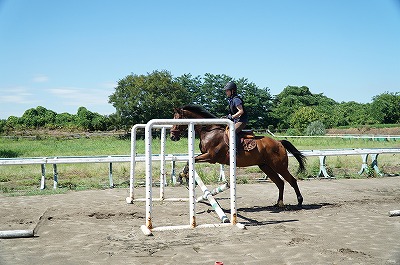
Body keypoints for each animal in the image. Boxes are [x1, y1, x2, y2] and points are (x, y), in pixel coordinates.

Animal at [170, 104, 306, 207]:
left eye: (177, 119)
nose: (172, 136)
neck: (209, 131)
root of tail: (279, 142)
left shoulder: (210, 157)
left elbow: (191, 160)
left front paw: (183, 177)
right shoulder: (205, 155)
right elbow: (190, 160)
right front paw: (182, 177)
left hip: (279, 166)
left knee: (291, 180)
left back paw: (299, 201)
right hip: (265, 166)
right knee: (280, 183)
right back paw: (279, 203)